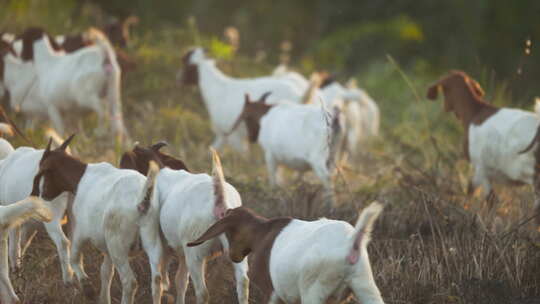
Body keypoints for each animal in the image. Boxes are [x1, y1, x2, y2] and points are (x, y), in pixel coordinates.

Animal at [29, 135, 162, 304]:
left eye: (43, 171)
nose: (43, 195)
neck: (81, 177)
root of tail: (143, 199)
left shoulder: (81, 232)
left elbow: (74, 258)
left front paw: (88, 288)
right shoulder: (107, 248)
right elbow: (105, 272)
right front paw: (103, 298)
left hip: (118, 245)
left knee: (129, 282)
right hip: (152, 241)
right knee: (157, 281)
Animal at [118, 144, 249, 304]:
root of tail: (220, 204)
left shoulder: (168, 244)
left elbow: (166, 276)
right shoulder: (182, 252)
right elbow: (180, 281)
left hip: (195, 253)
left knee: (203, 292)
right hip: (237, 251)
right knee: (243, 283)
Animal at [178, 47, 312, 153]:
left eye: (184, 62)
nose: (178, 79)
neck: (219, 89)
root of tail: (301, 95)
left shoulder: (234, 136)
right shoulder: (223, 134)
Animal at [188, 202, 386, 304]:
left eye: (227, 233)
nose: (233, 256)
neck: (262, 232)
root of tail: (350, 244)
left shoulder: (272, 292)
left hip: (314, 291)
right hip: (365, 286)